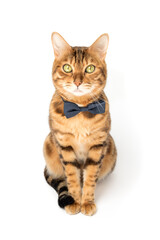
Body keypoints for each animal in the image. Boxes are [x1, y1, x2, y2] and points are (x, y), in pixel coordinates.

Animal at [43, 32, 117, 216]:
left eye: (89, 68)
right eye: (67, 68)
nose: (77, 82)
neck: (79, 110)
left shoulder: (98, 145)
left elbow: (90, 178)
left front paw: (87, 202)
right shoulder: (64, 145)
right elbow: (72, 178)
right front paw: (75, 200)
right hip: (48, 143)